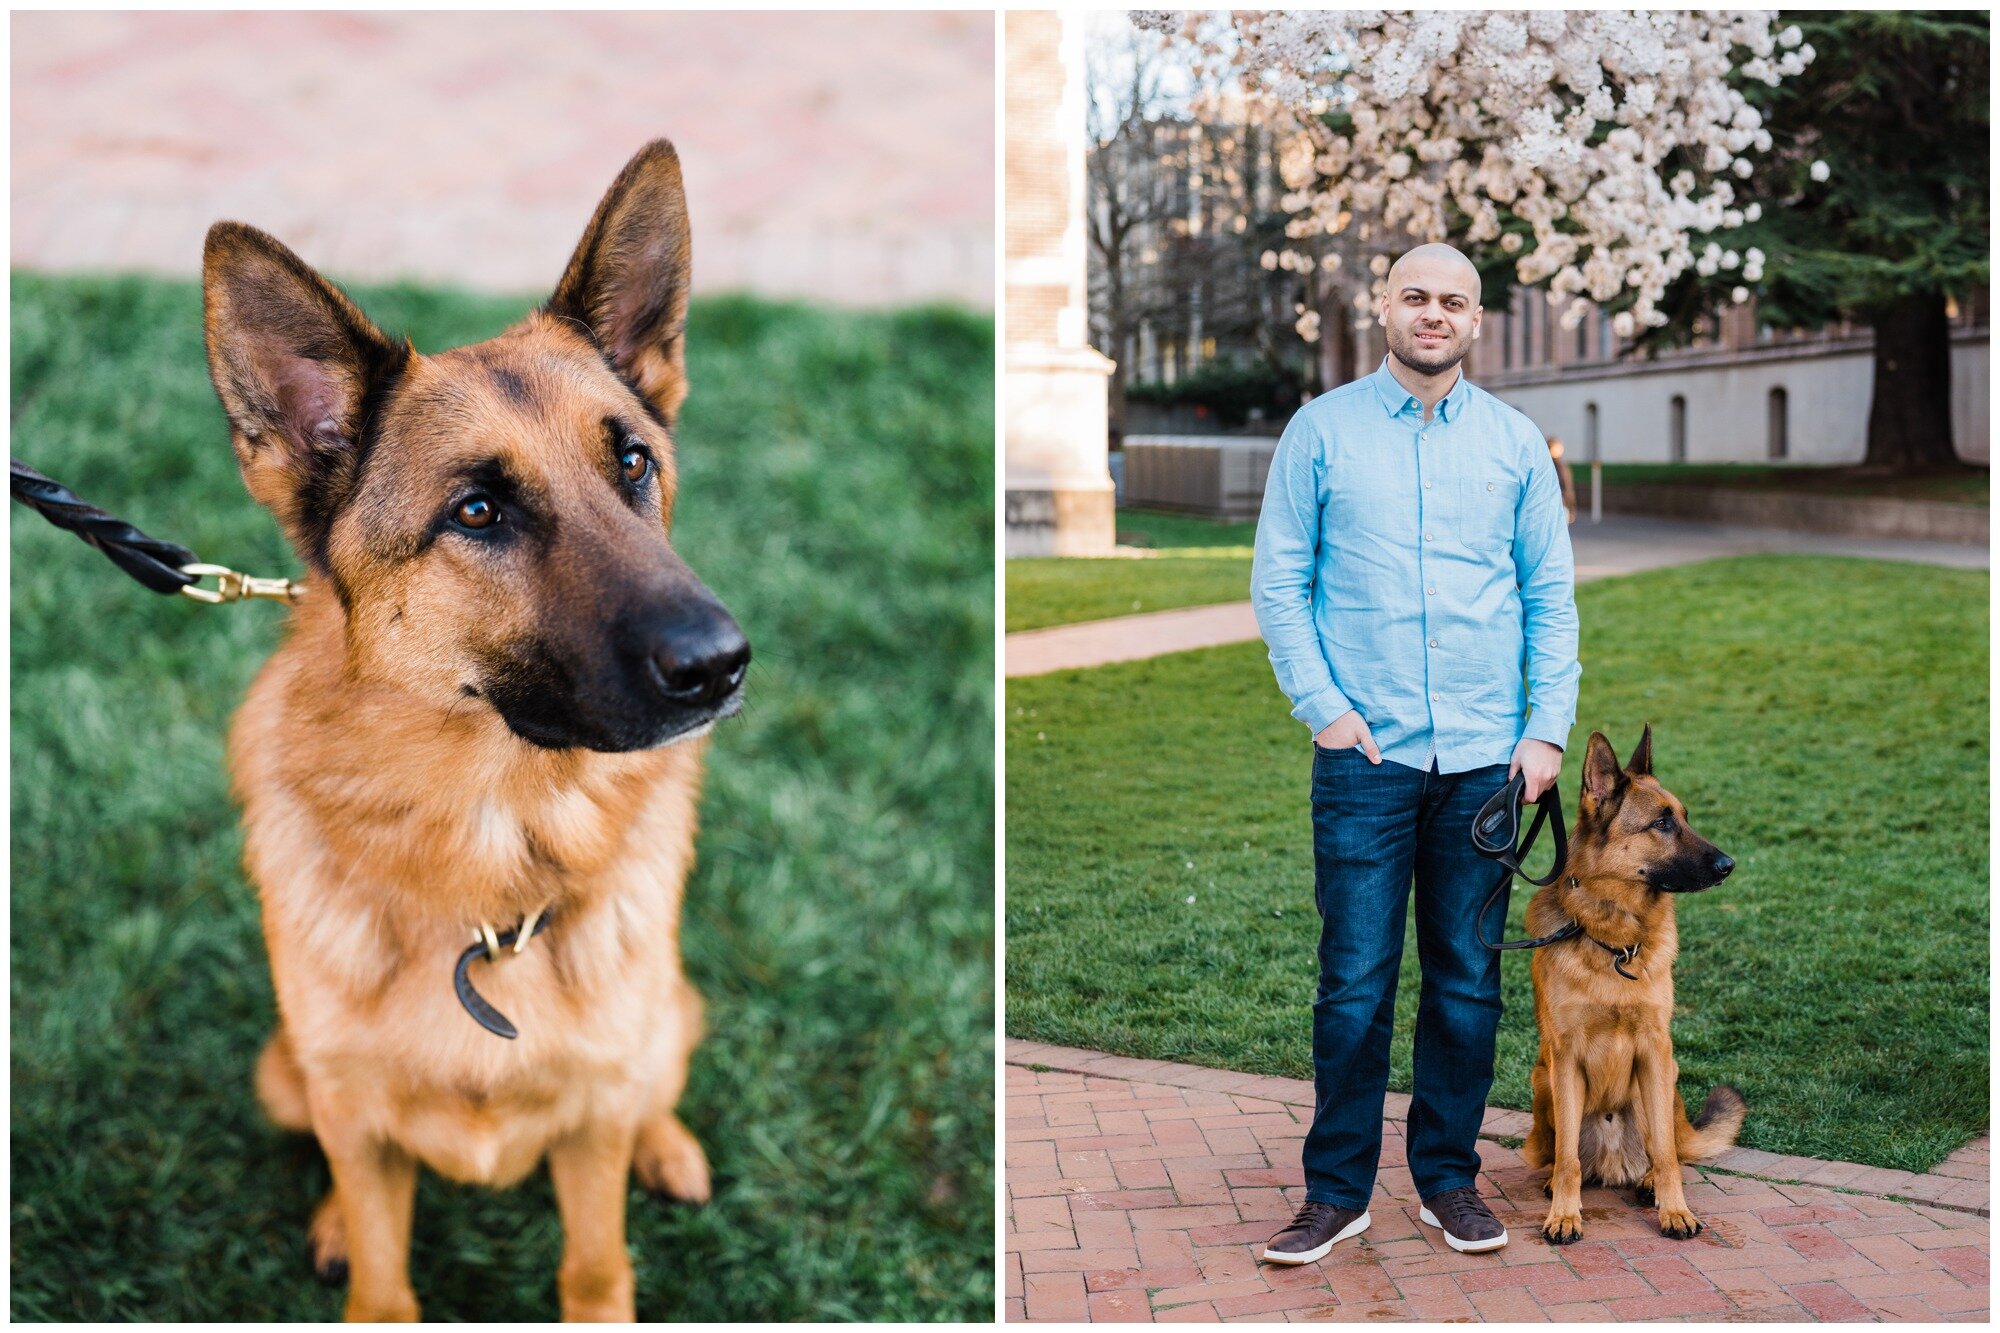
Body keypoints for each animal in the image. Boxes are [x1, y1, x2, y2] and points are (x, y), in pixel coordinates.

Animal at [203, 140, 752, 1312]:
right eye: (477, 511)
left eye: (632, 462)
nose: (722, 664)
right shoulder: (350, 1114)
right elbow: (381, 1277)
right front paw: (355, 1248)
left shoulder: (590, 1126)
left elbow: (595, 1268)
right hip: (284, 1073)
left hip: (659, 1026)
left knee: (652, 1088)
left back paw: (668, 1147)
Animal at [1520, 720, 1744, 1240]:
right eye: (1661, 824)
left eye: (1684, 817)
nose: (1729, 865)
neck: (1616, 943)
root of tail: (1611, 1160)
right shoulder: (1564, 1058)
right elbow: (1567, 1159)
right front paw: (1564, 1213)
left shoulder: (1655, 1048)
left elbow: (1665, 1153)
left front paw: (1674, 1208)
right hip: (1543, 1081)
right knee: (1561, 1155)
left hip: (1661, 1079)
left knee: (1667, 1148)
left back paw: (1648, 1184)